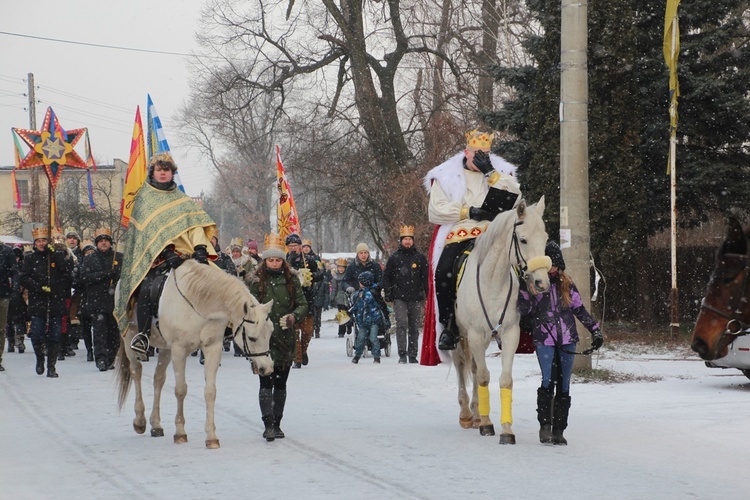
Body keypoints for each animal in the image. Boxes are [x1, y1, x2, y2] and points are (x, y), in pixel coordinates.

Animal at [119, 260, 278, 452]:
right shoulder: (179, 350)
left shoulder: (212, 348)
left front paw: (211, 437)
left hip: (165, 349)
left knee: (158, 379)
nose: (267, 368)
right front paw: (180, 433)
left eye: (270, 333)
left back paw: (156, 425)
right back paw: (140, 421)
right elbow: (180, 390)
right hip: (130, 338)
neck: (199, 302)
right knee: (137, 373)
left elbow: (210, 392)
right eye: (252, 337)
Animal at [452, 197, 552, 444]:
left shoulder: (509, 334)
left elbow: (505, 379)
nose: (542, 283)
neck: (492, 283)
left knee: (474, 366)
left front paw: (506, 430)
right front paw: (487, 425)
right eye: (523, 239)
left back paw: (476, 412)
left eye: (545, 238)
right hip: (460, 334)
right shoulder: (475, 334)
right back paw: (466, 414)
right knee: (461, 364)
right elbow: (483, 377)